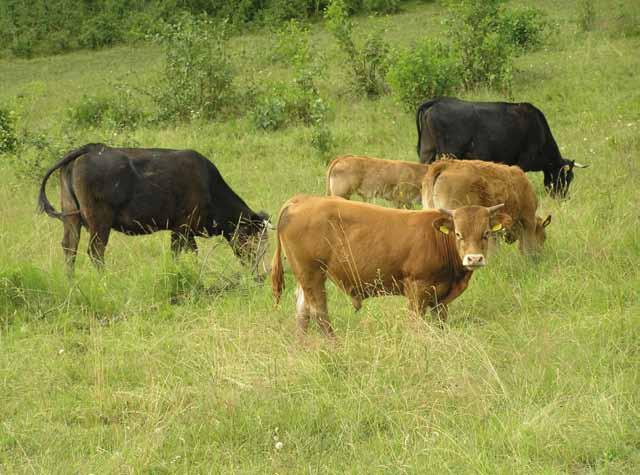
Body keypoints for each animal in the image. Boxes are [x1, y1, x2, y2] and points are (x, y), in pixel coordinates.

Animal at [37, 145, 272, 278]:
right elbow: (180, 254)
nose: (259, 272)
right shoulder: (182, 228)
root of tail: (89, 150)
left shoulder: (183, 230)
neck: (209, 186)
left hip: (72, 218)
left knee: (70, 248)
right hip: (99, 222)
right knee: (95, 251)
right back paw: (105, 279)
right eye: (253, 238)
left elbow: (191, 254)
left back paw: (71, 281)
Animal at [270, 194, 510, 338]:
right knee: (319, 312)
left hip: (306, 277)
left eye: (485, 233)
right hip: (312, 274)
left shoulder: (440, 298)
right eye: (458, 234)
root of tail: (302, 199)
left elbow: (440, 322)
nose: (474, 259)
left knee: (302, 312)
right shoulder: (417, 288)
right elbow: (415, 322)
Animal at [416, 97, 592, 198]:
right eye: (567, 177)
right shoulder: (523, 160)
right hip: (449, 152)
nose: (563, 197)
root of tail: (437, 102)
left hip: (427, 151)